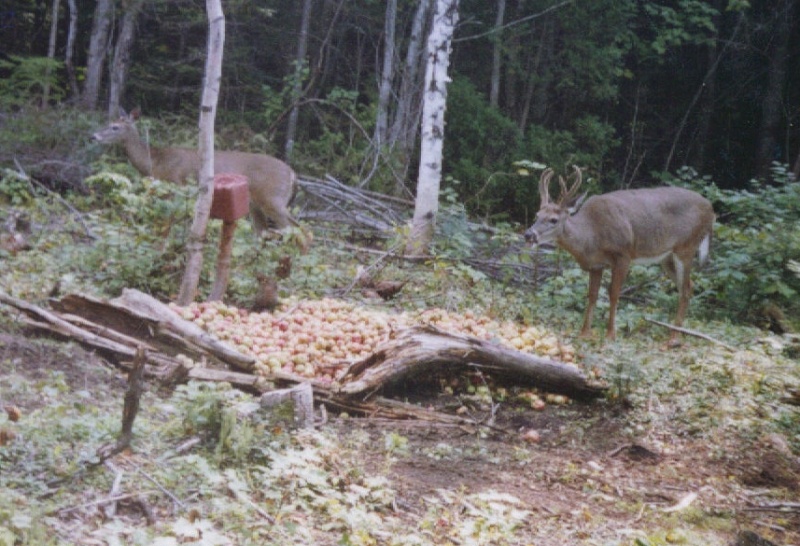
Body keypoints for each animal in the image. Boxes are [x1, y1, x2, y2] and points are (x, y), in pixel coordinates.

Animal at [91, 108, 296, 232]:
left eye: (115, 127)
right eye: (109, 122)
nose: (94, 136)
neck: (156, 161)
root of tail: (292, 174)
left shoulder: (175, 185)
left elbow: (170, 221)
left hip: (272, 198)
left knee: (297, 229)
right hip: (256, 204)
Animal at [520, 167, 716, 344]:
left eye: (553, 219)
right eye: (537, 214)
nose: (528, 235)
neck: (592, 236)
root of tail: (711, 210)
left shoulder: (624, 255)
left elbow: (614, 293)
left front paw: (610, 335)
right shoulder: (596, 265)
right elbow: (592, 295)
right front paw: (584, 333)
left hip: (686, 247)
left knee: (686, 288)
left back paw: (674, 338)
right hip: (666, 258)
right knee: (688, 286)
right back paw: (676, 332)